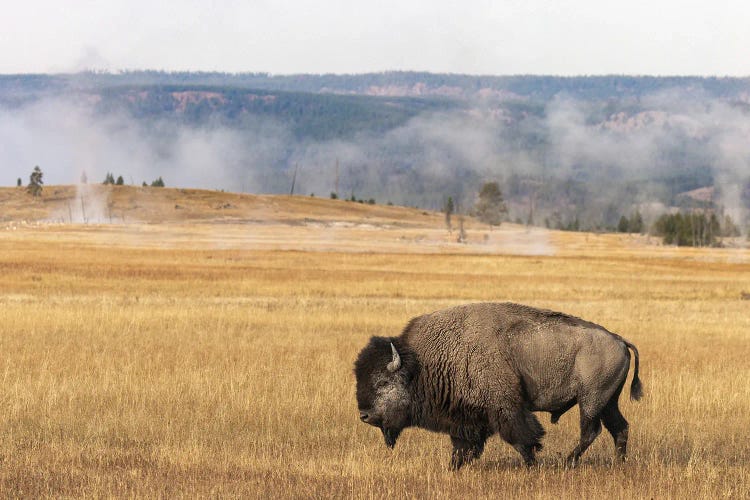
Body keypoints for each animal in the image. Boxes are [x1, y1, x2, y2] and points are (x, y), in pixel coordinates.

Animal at [356, 300, 644, 468]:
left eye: (383, 381)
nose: (364, 415)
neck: (422, 364)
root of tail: (619, 339)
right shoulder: (465, 417)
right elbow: (462, 444)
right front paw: (454, 467)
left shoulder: (506, 408)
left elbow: (521, 437)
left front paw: (532, 464)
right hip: (608, 401)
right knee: (619, 428)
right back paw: (619, 464)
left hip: (591, 400)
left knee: (591, 430)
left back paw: (568, 462)